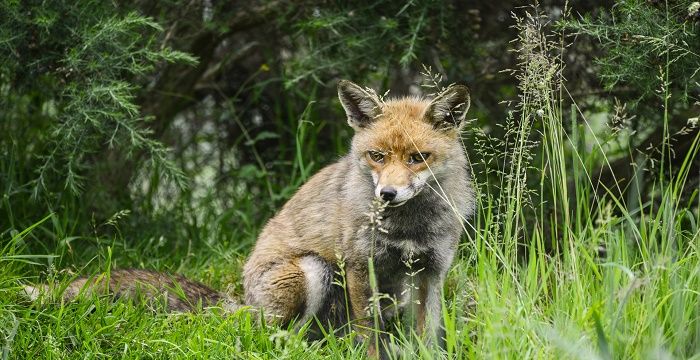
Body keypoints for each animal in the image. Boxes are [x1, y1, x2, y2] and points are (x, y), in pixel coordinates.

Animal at [27, 78, 476, 354]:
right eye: (377, 156)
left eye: (418, 158)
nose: (387, 194)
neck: (409, 227)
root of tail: (240, 301)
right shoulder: (359, 267)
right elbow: (369, 341)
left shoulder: (431, 272)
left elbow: (428, 338)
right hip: (312, 271)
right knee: (272, 334)